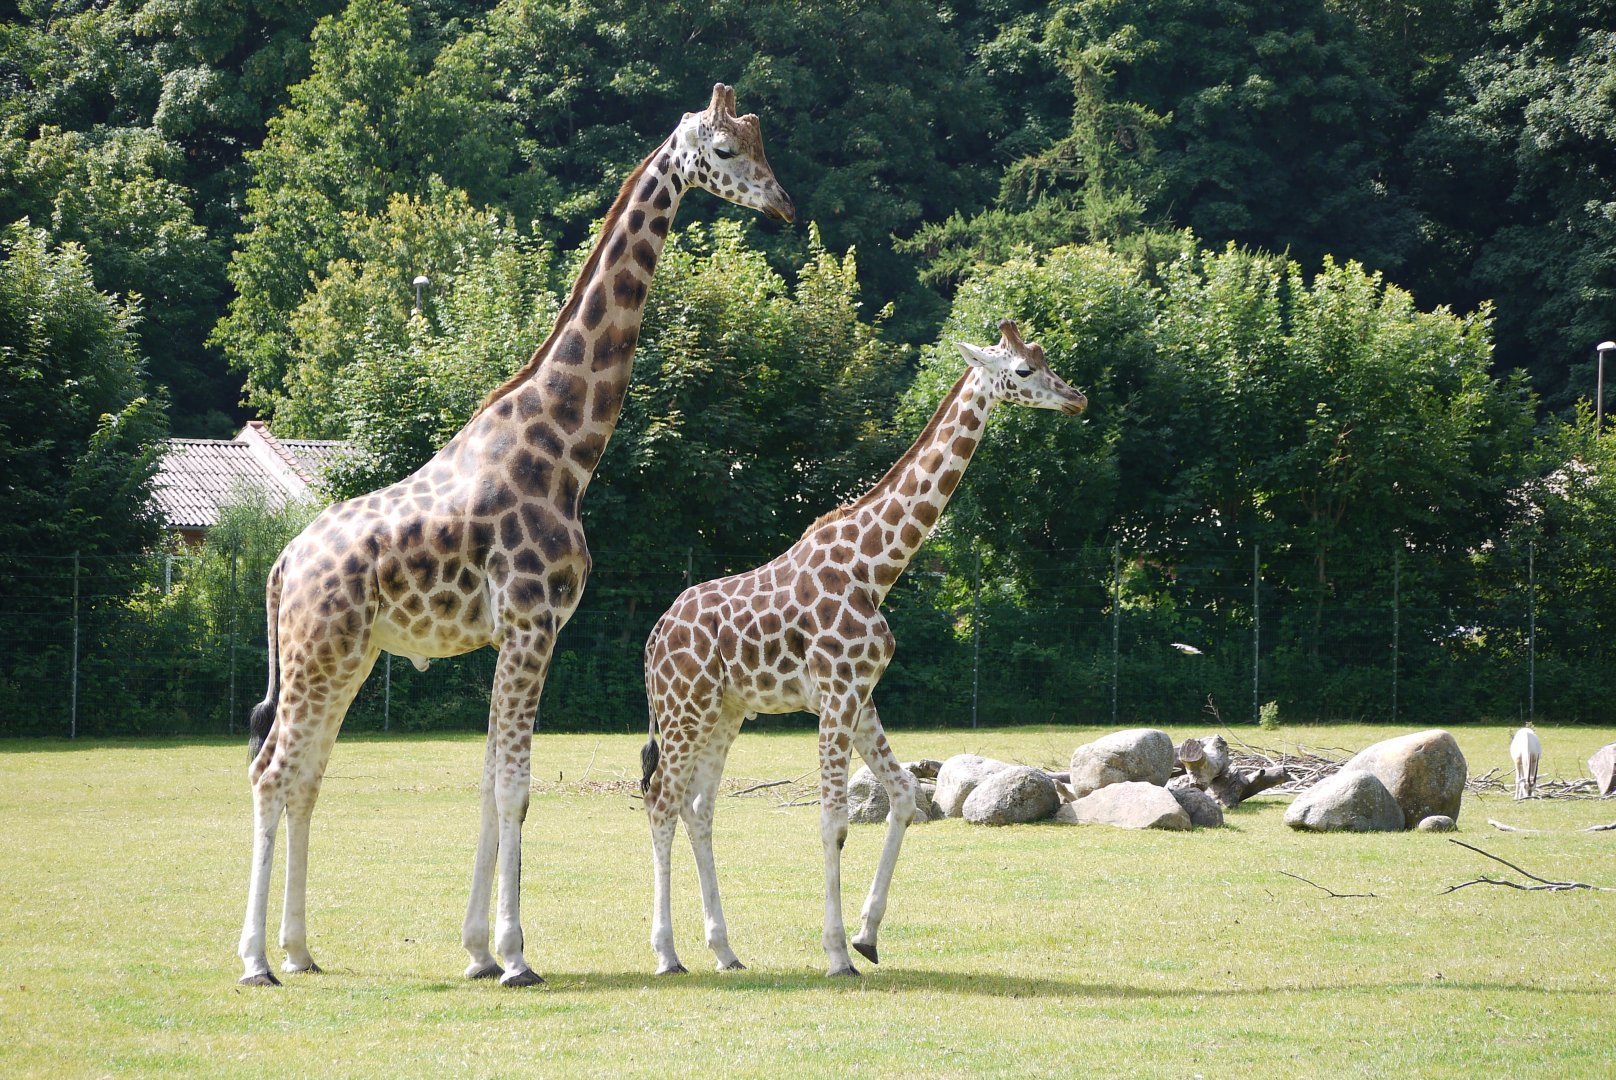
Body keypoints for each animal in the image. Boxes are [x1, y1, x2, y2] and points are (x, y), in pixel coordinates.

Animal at [237, 84, 793, 988]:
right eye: (723, 150)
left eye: (760, 142)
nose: (782, 204)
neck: (562, 451)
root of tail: (284, 563)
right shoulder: (534, 623)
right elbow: (514, 788)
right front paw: (514, 955)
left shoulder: (521, 633)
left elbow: (490, 782)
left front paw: (476, 949)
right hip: (320, 651)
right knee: (271, 770)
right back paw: (255, 960)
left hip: (343, 656)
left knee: (305, 776)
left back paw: (299, 948)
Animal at [640, 319, 1086, 976]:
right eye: (1024, 370)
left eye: (1048, 358)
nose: (1077, 398)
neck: (874, 569)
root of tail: (653, 638)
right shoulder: (835, 695)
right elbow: (832, 821)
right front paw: (835, 953)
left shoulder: (863, 695)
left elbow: (904, 798)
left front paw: (867, 935)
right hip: (683, 710)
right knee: (661, 803)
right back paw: (668, 953)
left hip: (725, 713)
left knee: (698, 809)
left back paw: (725, 950)